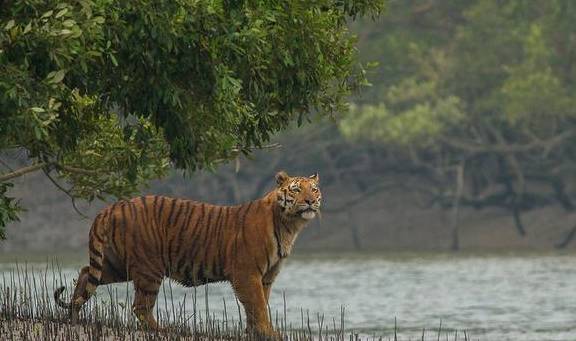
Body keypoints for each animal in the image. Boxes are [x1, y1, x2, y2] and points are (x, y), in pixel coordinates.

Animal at [54, 171, 322, 336]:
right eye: (296, 190)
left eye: (314, 190)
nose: (310, 201)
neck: (289, 225)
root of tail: (112, 207)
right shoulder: (247, 274)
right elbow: (257, 305)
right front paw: (268, 332)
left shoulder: (266, 277)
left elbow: (258, 306)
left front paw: (255, 332)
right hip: (149, 268)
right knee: (140, 306)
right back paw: (163, 330)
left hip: (116, 265)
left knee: (85, 273)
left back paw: (73, 317)